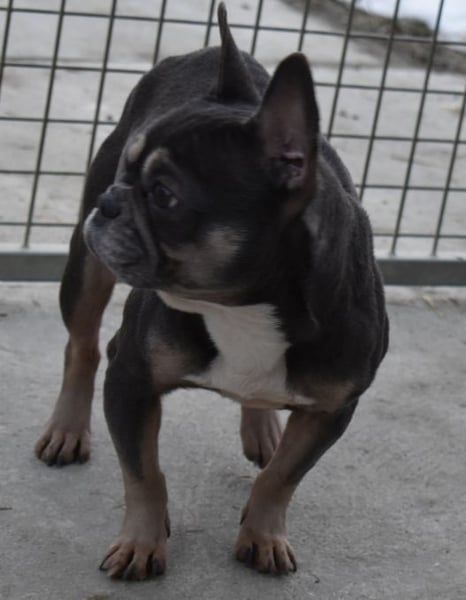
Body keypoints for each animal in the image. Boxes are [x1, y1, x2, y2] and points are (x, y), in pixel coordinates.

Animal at [35, 3, 388, 579]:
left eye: (164, 195)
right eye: (128, 167)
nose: (110, 200)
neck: (241, 307)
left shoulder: (332, 408)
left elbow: (283, 477)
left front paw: (264, 534)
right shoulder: (130, 377)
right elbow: (144, 474)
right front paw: (141, 543)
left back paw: (262, 425)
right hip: (85, 271)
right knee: (81, 346)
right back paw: (67, 428)